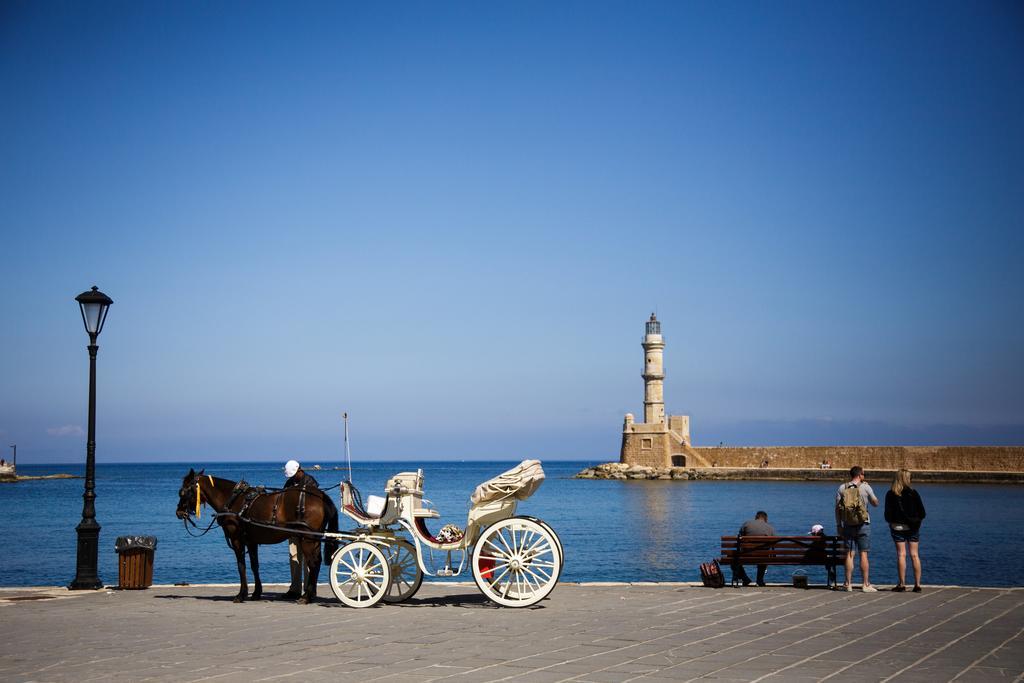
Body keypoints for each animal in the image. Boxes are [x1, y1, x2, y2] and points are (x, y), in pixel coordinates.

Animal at [174, 471, 337, 602]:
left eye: (183, 492)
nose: (179, 512)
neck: (234, 500)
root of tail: (321, 496)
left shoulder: (237, 540)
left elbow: (241, 566)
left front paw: (241, 594)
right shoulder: (251, 541)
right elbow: (254, 566)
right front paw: (256, 593)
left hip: (308, 538)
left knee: (313, 563)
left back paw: (307, 597)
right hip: (313, 539)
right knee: (316, 562)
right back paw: (310, 594)